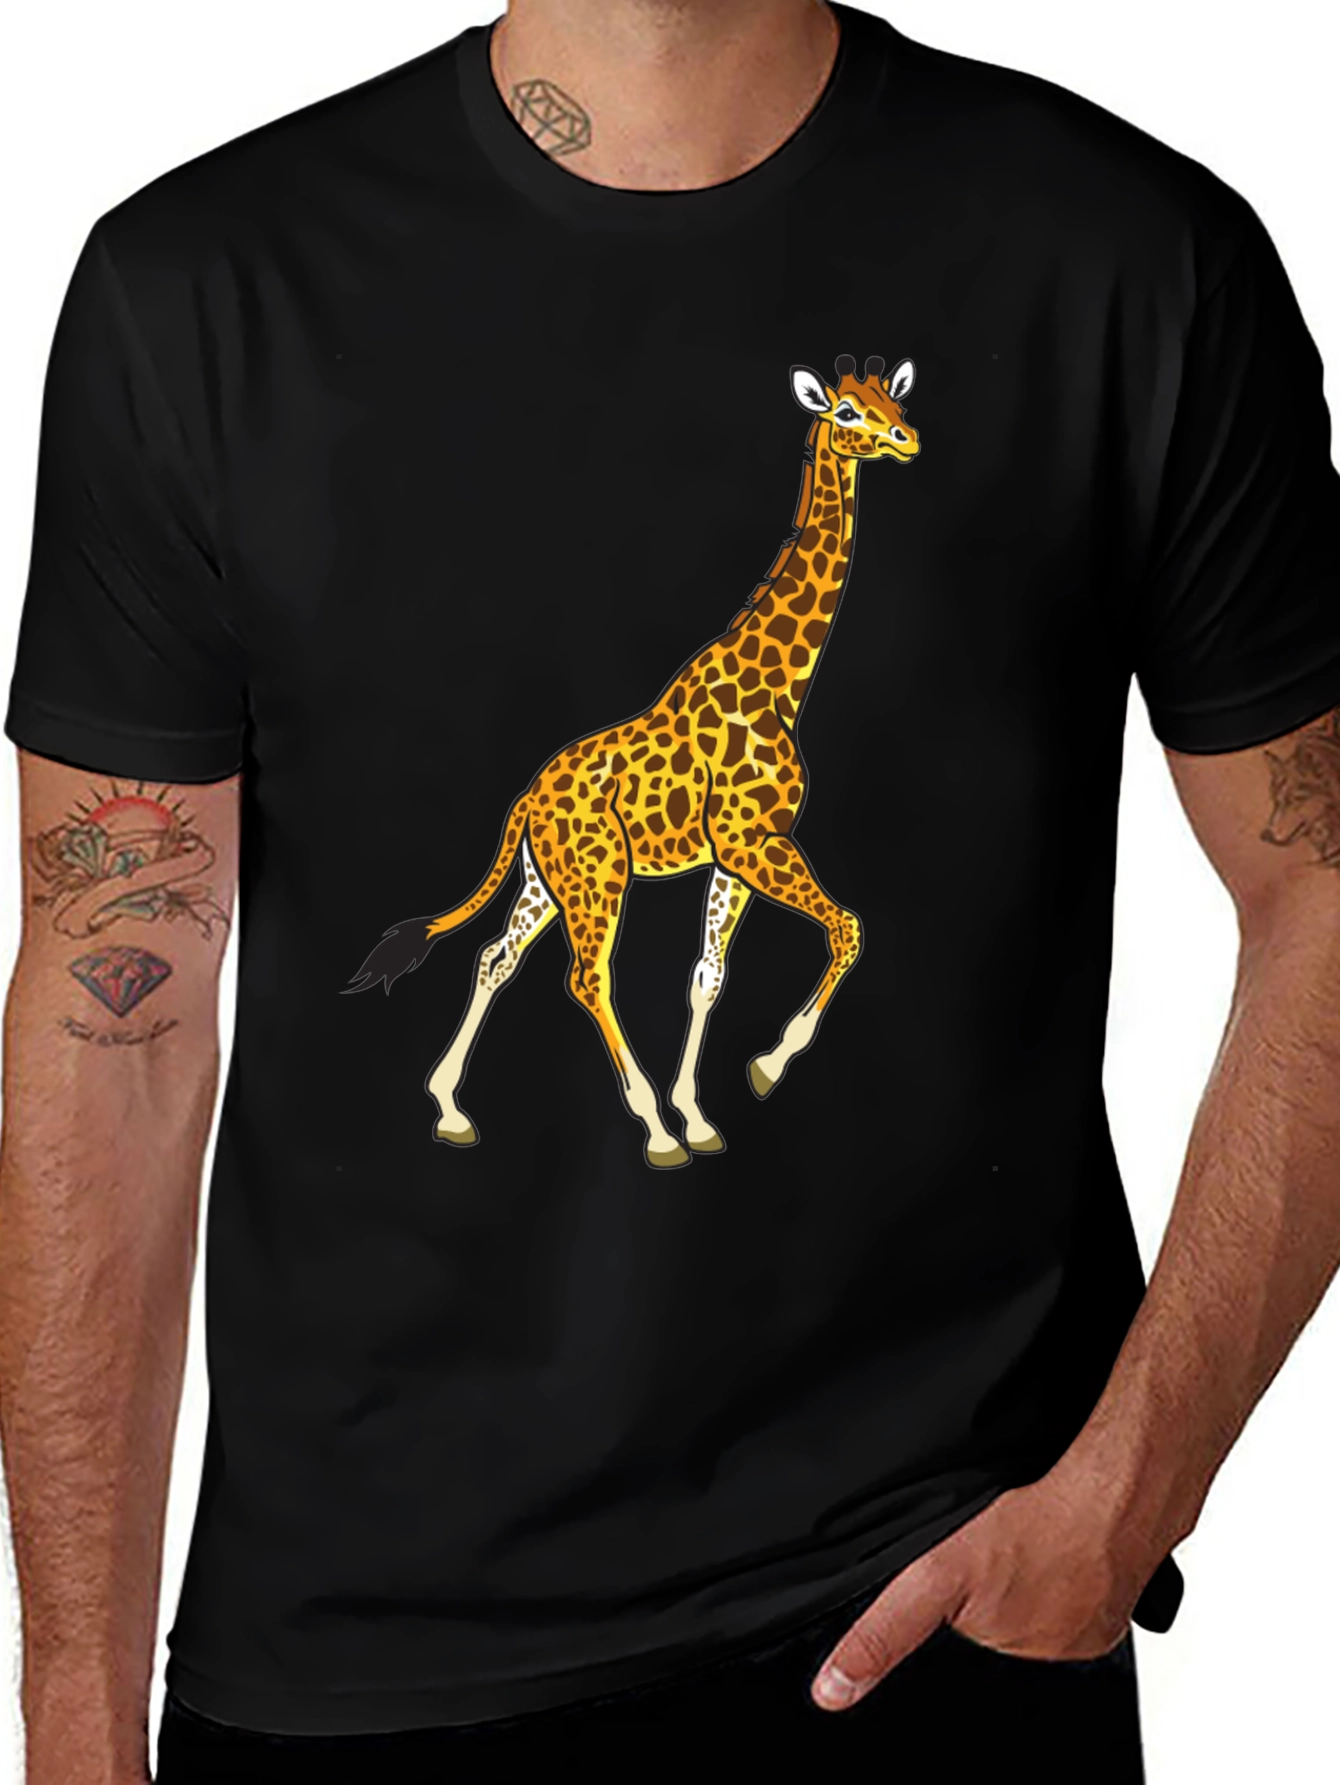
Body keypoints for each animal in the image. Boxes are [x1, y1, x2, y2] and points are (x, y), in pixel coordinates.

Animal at [353, 355, 920, 1165]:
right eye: (847, 412)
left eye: (891, 401)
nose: (906, 439)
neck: (780, 685)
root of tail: (527, 800)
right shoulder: (754, 840)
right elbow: (847, 928)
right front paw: (764, 1069)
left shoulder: (735, 856)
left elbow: (707, 975)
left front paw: (703, 1114)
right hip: (598, 878)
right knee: (588, 977)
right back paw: (650, 1128)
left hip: (546, 880)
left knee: (497, 956)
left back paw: (451, 1108)